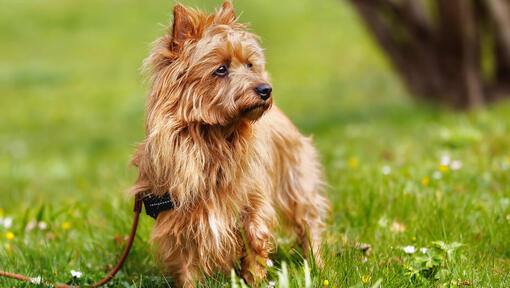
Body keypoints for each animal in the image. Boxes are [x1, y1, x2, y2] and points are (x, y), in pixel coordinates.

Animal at [130, 1, 330, 286]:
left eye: (249, 64)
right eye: (221, 69)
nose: (266, 89)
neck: (212, 138)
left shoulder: (252, 202)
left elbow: (255, 242)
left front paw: (254, 280)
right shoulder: (180, 215)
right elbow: (186, 261)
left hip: (296, 180)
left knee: (309, 223)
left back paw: (318, 265)